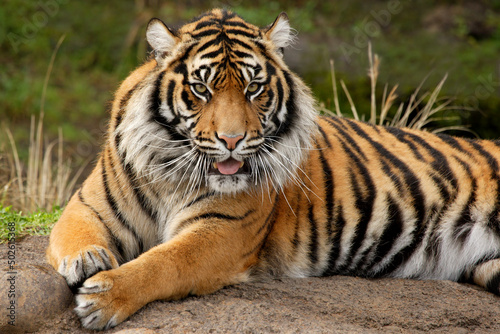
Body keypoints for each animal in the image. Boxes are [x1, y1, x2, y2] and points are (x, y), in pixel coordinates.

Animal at [47, 8, 500, 332]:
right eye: (201, 89)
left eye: (253, 88)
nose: (231, 140)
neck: (172, 169)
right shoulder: (88, 204)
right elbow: (75, 233)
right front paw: (88, 260)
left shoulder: (223, 230)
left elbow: (164, 261)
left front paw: (104, 297)